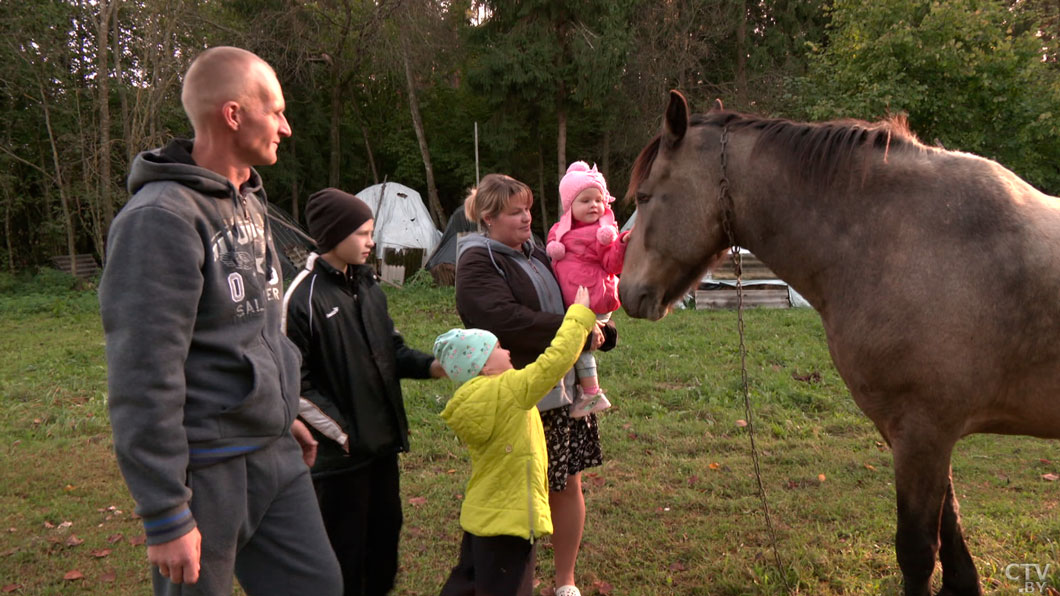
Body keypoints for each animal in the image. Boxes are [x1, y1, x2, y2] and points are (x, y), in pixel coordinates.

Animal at [619, 88, 1060, 593]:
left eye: (646, 196)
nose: (626, 291)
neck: (903, 240)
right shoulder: (925, 435)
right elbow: (952, 539)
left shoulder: (922, 433)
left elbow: (917, 551)